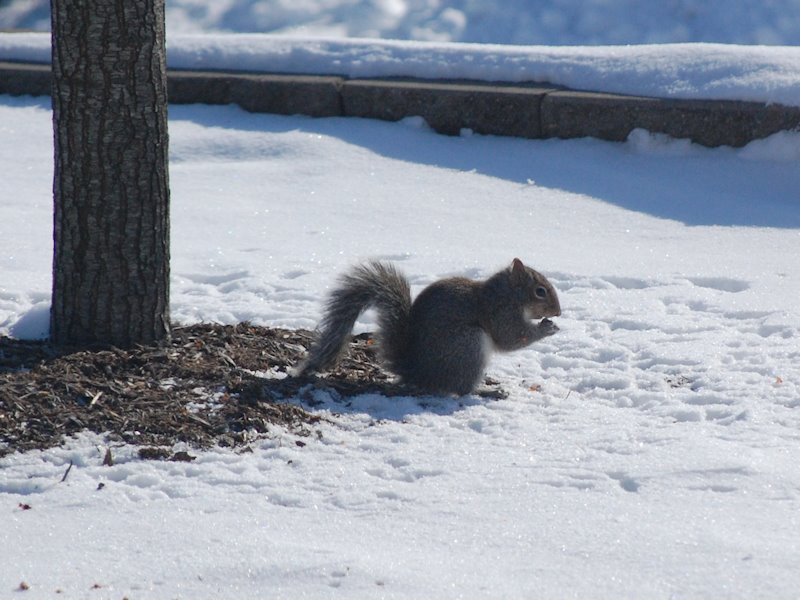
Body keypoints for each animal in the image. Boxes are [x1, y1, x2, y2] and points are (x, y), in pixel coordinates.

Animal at [298, 256, 564, 394]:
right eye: (540, 291)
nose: (559, 312)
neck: (508, 294)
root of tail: (418, 372)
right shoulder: (500, 313)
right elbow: (511, 337)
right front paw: (546, 328)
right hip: (468, 346)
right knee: (462, 389)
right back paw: (487, 391)